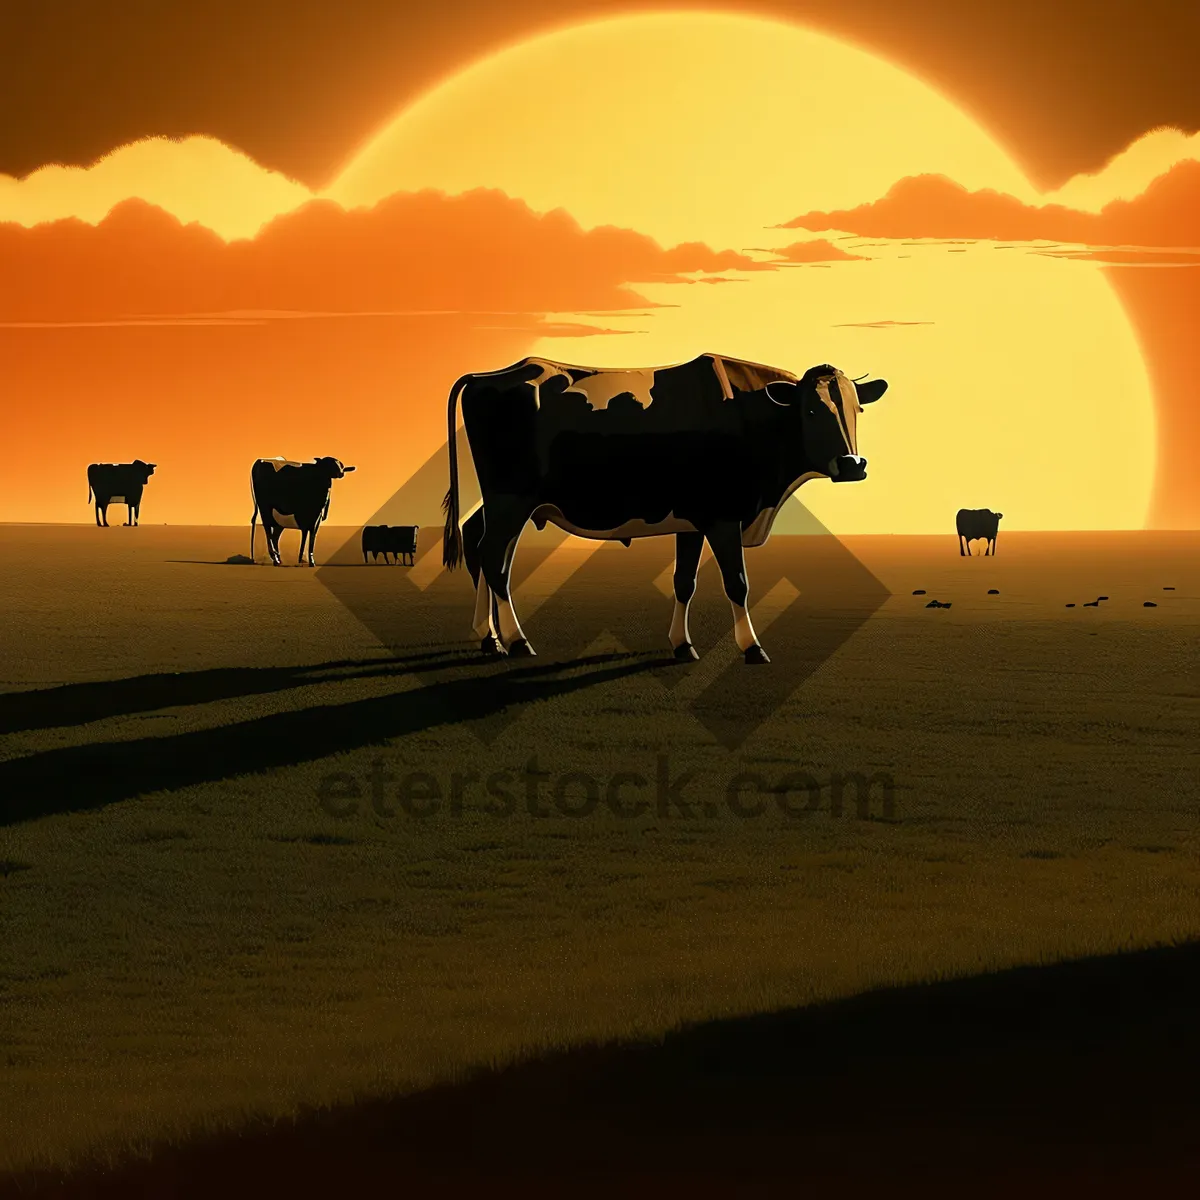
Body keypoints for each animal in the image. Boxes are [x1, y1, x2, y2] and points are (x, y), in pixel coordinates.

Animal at [441, 350, 883, 662]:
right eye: (811, 408)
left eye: (856, 409)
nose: (853, 465)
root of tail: (491, 375)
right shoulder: (724, 516)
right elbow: (737, 583)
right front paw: (752, 648)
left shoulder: (692, 521)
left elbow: (684, 582)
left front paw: (682, 646)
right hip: (511, 498)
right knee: (493, 557)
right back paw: (516, 642)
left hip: (507, 502)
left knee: (479, 541)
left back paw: (490, 638)